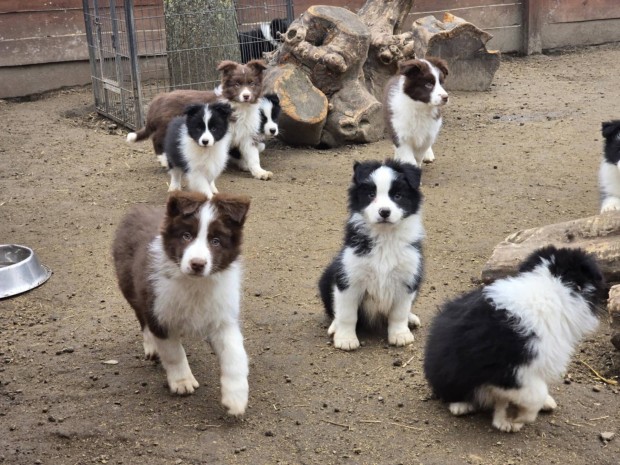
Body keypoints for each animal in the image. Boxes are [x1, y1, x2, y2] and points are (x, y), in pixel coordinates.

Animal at [112, 190, 251, 416]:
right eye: (186, 236)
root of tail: (138, 210)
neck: (195, 284)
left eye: (216, 241)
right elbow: (173, 352)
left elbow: (235, 355)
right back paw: (151, 346)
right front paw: (182, 381)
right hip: (131, 287)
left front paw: (236, 398)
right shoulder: (159, 312)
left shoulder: (223, 318)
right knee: (141, 318)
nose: (197, 264)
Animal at [318, 159, 424, 348]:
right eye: (371, 195)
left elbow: (399, 312)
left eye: (397, 196)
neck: (385, 237)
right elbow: (347, 314)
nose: (384, 212)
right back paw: (334, 326)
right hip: (328, 277)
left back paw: (411, 319)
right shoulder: (349, 278)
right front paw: (346, 339)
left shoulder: (408, 278)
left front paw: (400, 334)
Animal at [424, 246, 608, 432]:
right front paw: (515, 419)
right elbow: (535, 393)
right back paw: (461, 405)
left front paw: (508, 417)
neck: (548, 288)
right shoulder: (507, 370)